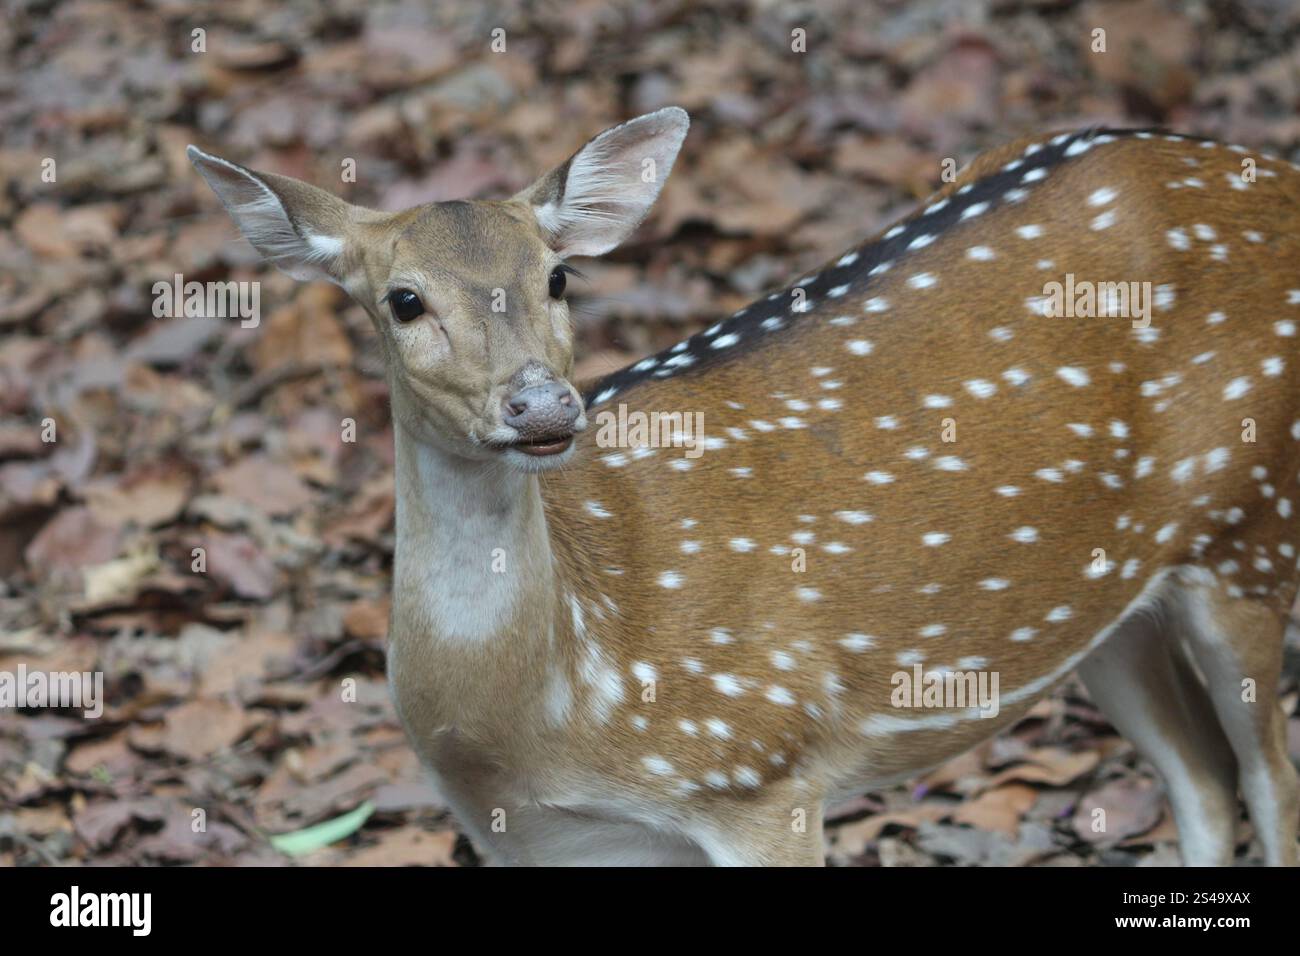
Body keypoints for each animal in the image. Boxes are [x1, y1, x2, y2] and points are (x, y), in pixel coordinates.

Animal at [188, 107, 1300, 866]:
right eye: (403, 300)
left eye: (559, 276)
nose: (543, 408)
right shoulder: (543, 843)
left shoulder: (760, 771)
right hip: (1106, 610)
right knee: (1202, 779)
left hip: (1252, 525)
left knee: (1267, 781)